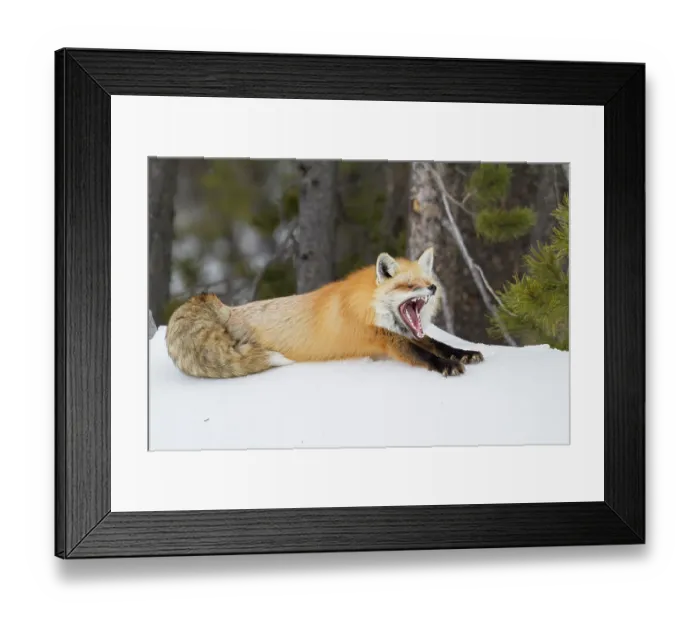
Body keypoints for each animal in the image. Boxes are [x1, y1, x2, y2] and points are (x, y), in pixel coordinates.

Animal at [165, 247, 484, 379]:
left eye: (428, 281)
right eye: (409, 285)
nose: (431, 288)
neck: (367, 307)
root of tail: (224, 308)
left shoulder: (402, 333)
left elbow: (439, 344)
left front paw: (463, 353)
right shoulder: (385, 340)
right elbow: (425, 354)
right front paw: (446, 366)